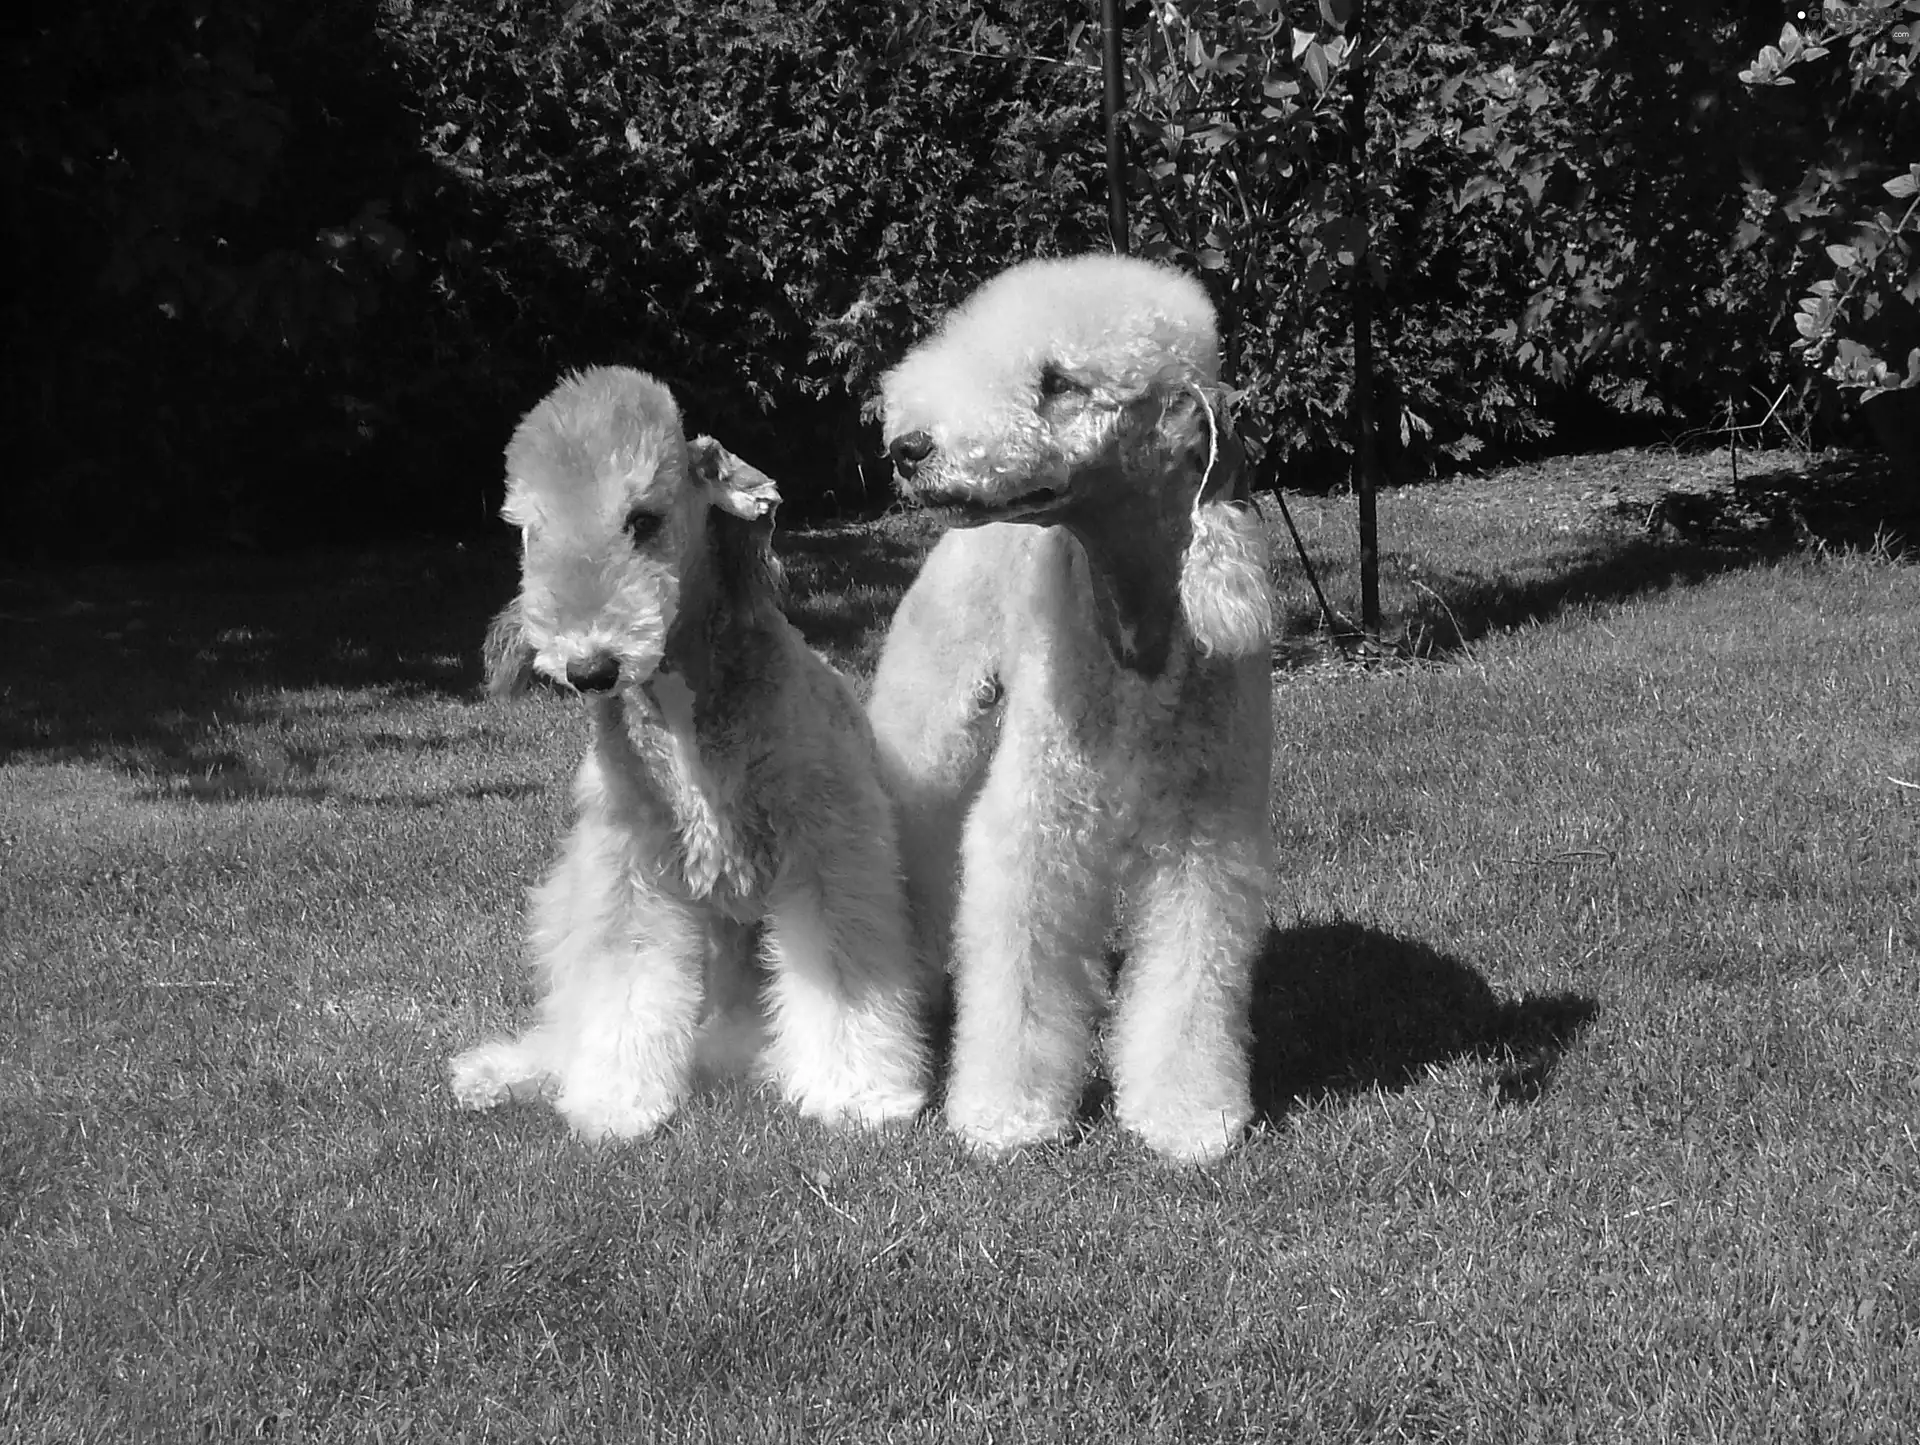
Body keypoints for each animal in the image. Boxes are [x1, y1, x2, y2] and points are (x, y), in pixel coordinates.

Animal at [449, 366, 929, 1143]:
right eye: (528, 530)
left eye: (642, 519)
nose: (589, 668)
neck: (684, 705)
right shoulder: (631, 868)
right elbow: (623, 984)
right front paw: (616, 1102)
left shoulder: (829, 848)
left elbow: (843, 970)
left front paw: (860, 1095)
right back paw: (504, 1073)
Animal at [864, 257, 1267, 1159]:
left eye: (1060, 382)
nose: (909, 449)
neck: (1136, 626)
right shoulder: (1037, 819)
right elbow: (1018, 965)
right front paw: (1005, 1116)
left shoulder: (1204, 832)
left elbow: (1193, 973)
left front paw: (1189, 1116)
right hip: (928, 725)